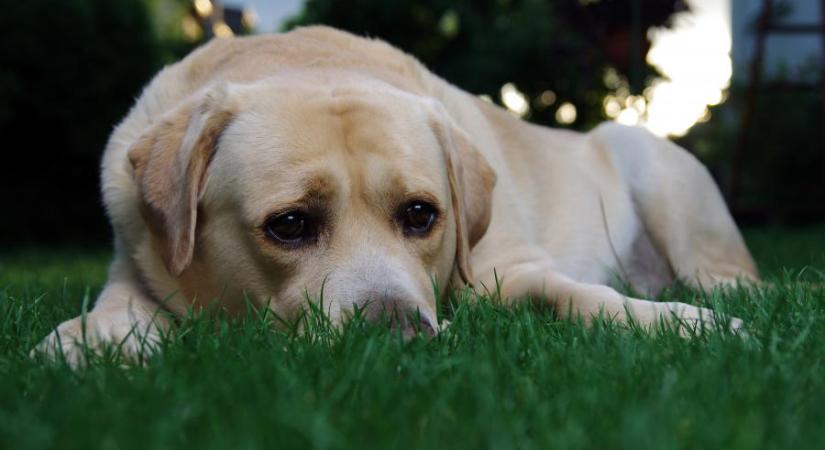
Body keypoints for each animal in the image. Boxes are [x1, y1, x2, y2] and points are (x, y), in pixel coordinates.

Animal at [37, 25, 760, 362]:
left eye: (420, 215)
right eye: (289, 225)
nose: (396, 335)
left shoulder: (511, 268)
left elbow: (580, 295)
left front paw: (679, 326)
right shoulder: (135, 270)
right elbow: (113, 314)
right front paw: (81, 345)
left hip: (652, 168)